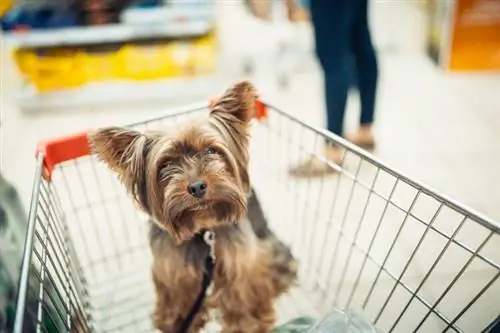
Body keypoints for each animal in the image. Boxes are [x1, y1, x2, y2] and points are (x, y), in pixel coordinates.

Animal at [90, 81, 296, 332]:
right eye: (165, 164)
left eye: (210, 150)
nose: (197, 186)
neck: (203, 228)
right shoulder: (172, 269)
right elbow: (178, 298)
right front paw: (177, 322)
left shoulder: (241, 264)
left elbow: (242, 296)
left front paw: (248, 324)